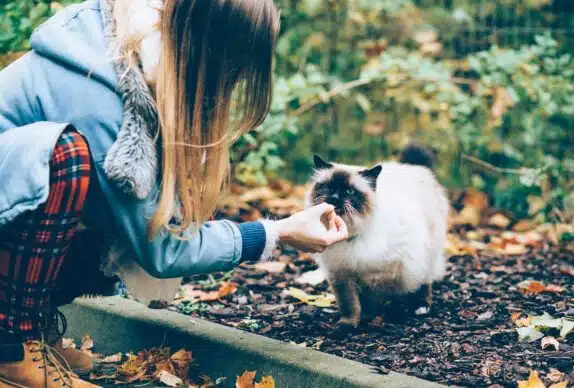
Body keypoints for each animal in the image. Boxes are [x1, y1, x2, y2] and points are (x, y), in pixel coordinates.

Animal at [304, 144, 452, 328]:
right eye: (330, 187)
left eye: (350, 191)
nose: (335, 198)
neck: (350, 237)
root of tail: (414, 168)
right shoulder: (341, 276)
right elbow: (349, 304)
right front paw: (348, 324)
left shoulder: (378, 275)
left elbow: (370, 300)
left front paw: (367, 318)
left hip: (425, 257)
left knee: (425, 282)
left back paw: (420, 307)